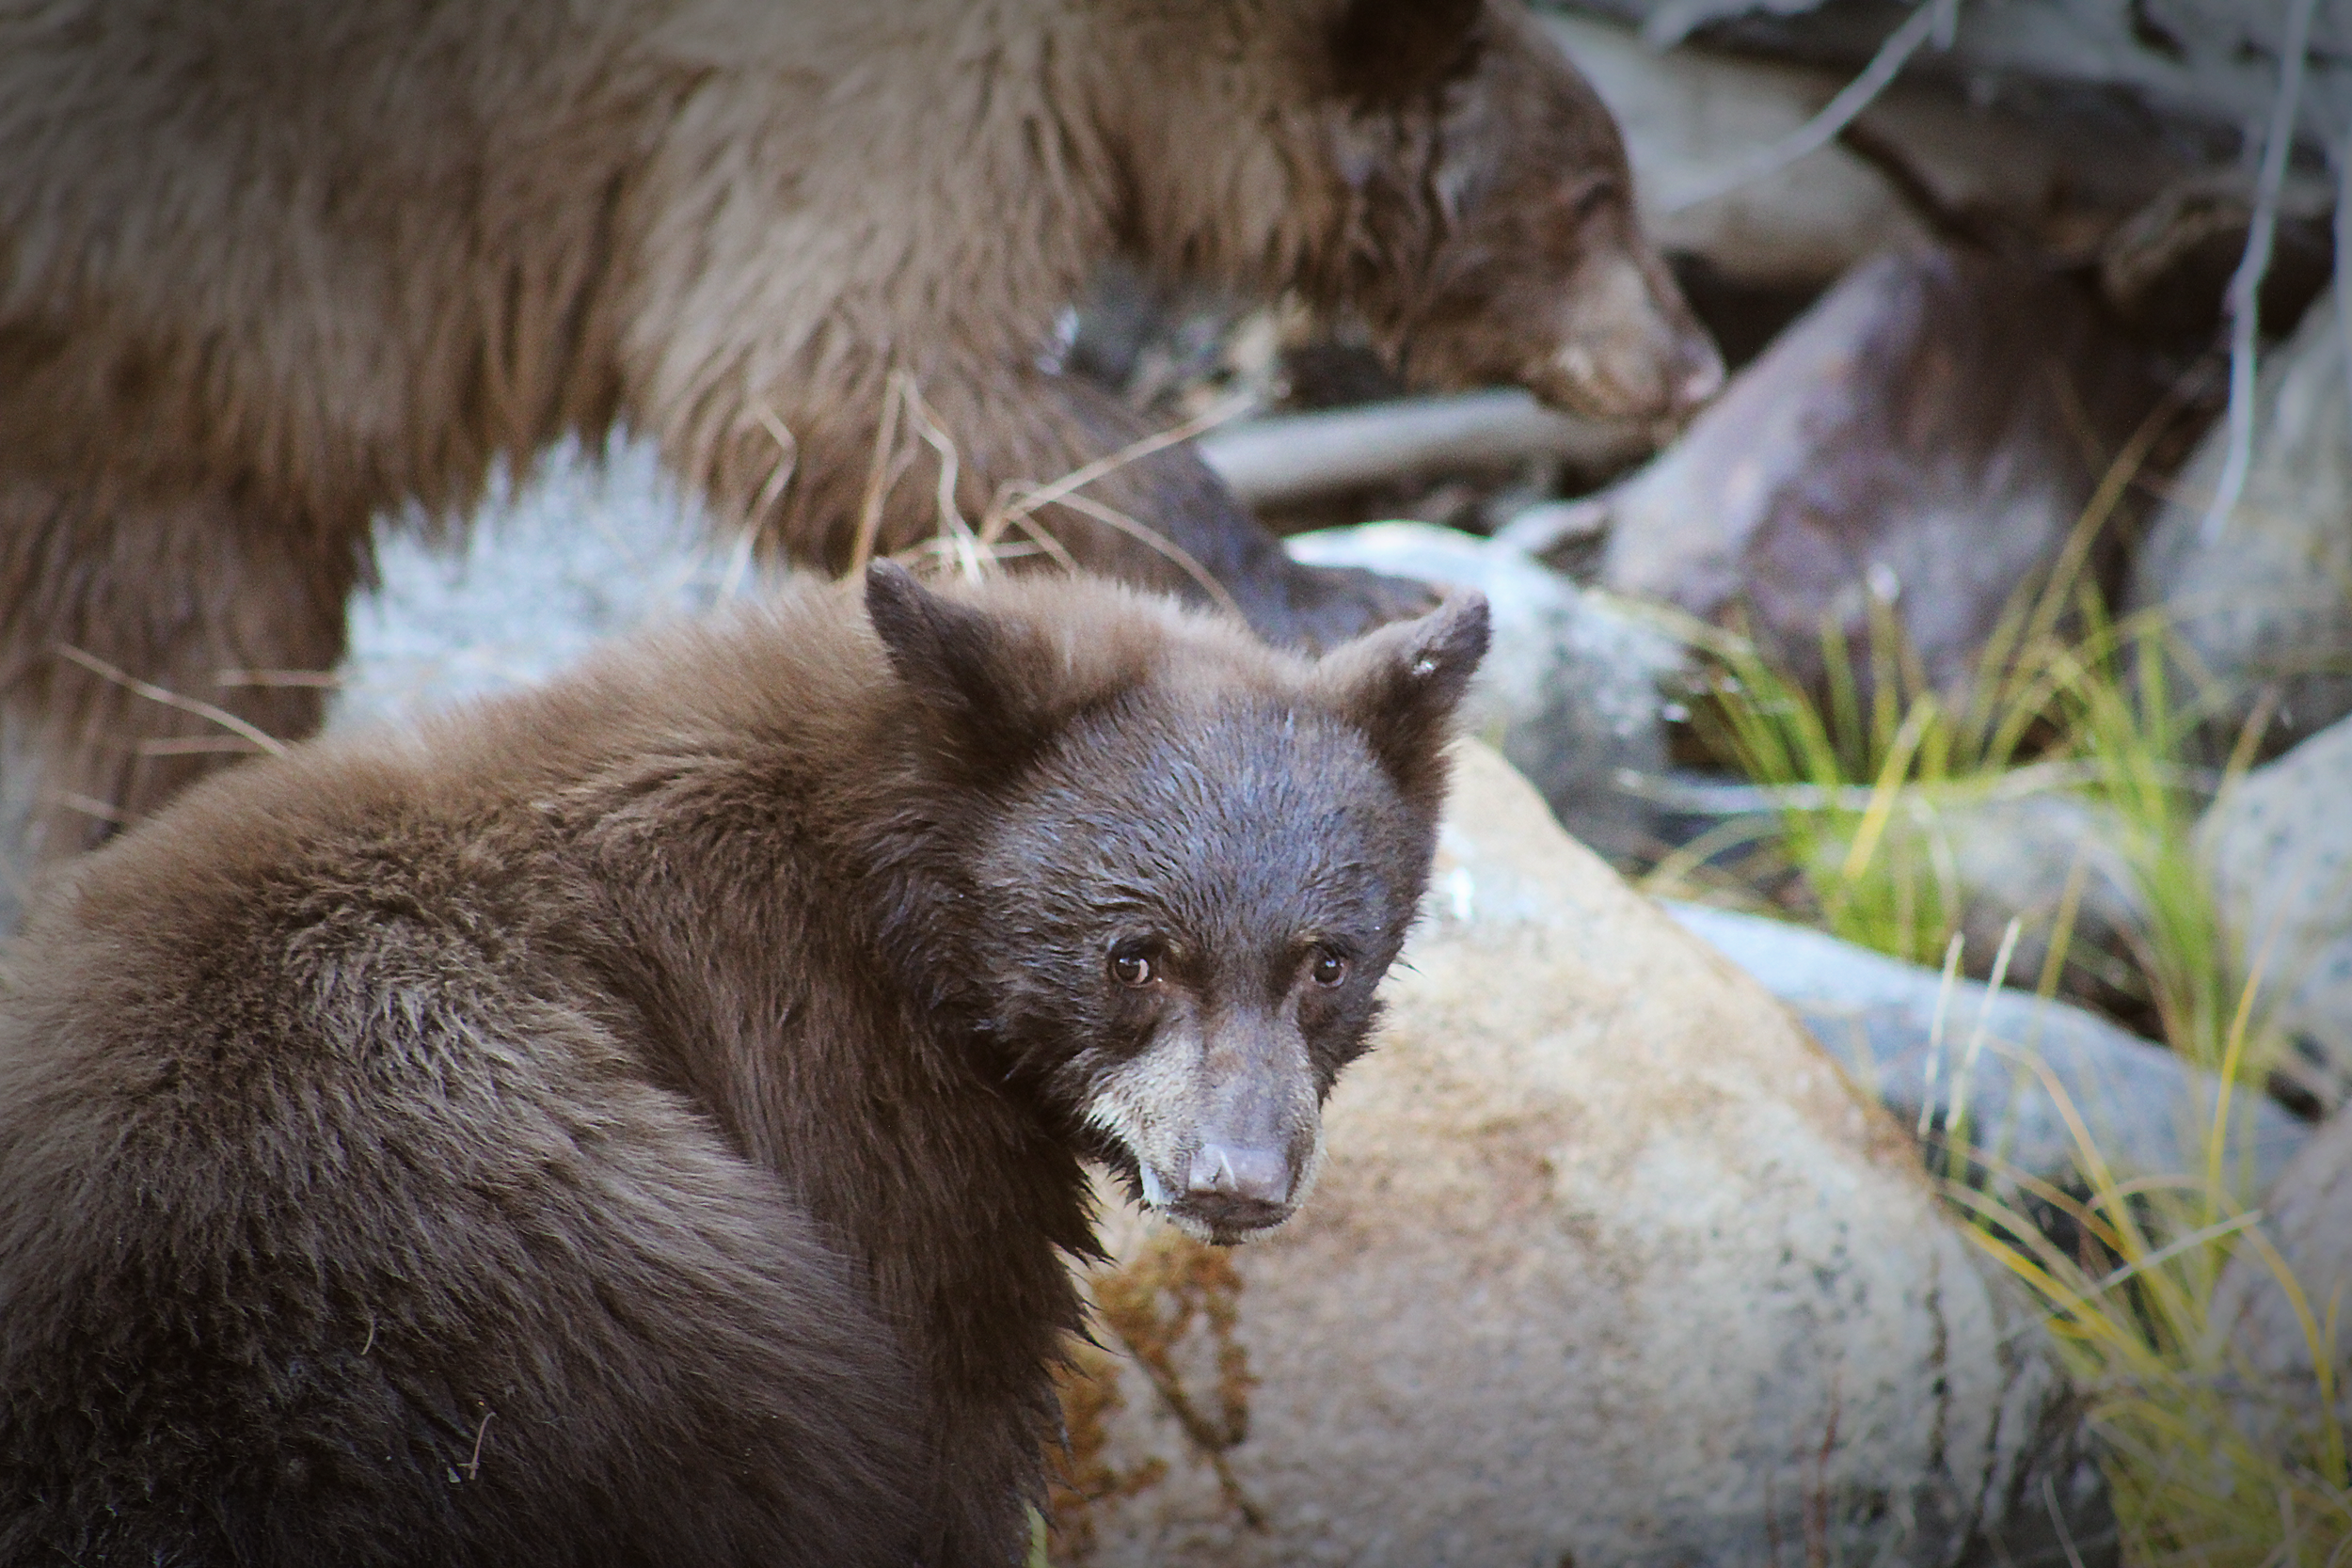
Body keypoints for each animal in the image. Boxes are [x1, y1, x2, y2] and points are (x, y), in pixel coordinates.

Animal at [0, 0, 1717, 873]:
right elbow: (842, 358)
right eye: (1596, 194)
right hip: (176, 343)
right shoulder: (869, 94)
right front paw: (1322, 579)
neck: (1136, 66)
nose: (1696, 364)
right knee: (178, 664)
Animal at [0, 563, 1492, 1568]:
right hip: (585, 1308)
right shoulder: (847, 1113)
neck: (887, 891)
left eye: (1327, 959)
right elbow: (945, 1432)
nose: (1236, 1177)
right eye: (1135, 953)